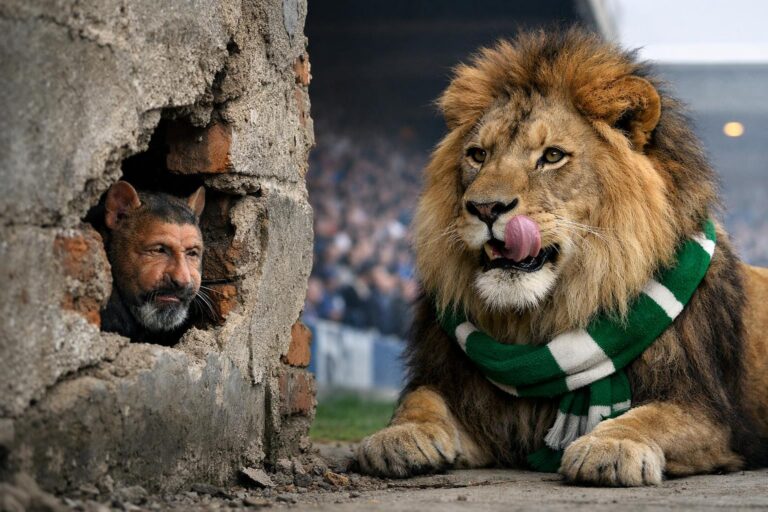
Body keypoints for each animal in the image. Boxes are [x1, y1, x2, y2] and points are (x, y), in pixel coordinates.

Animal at [356, 29, 768, 486]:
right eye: (478, 155)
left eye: (552, 156)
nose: (485, 208)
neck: (541, 320)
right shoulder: (476, 405)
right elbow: (422, 399)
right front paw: (397, 436)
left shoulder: (713, 417)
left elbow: (650, 418)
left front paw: (609, 446)